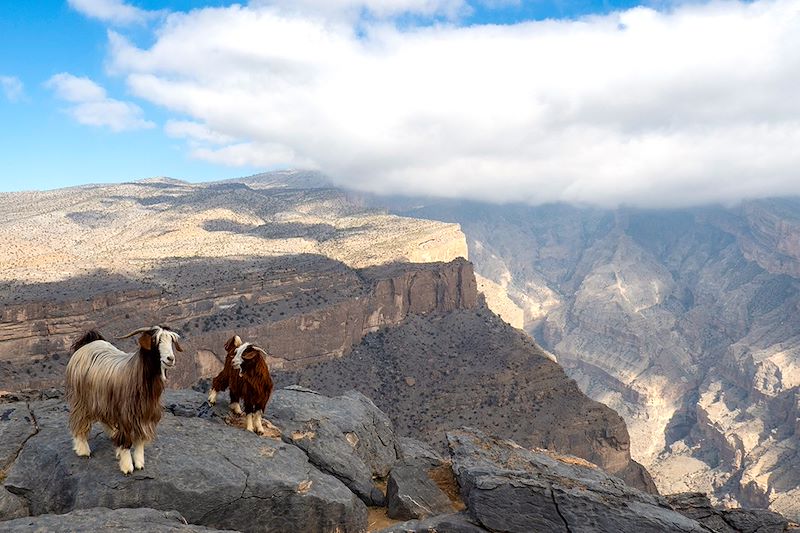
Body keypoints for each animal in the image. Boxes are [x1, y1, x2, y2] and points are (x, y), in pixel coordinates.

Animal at [65, 324, 183, 474]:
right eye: (155, 341)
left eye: (172, 341)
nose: (170, 359)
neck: (137, 374)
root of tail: (89, 343)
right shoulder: (125, 414)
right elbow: (126, 441)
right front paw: (127, 466)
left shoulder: (145, 414)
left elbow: (140, 440)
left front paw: (139, 462)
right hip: (81, 398)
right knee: (79, 421)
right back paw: (83, 450)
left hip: (104, 400)